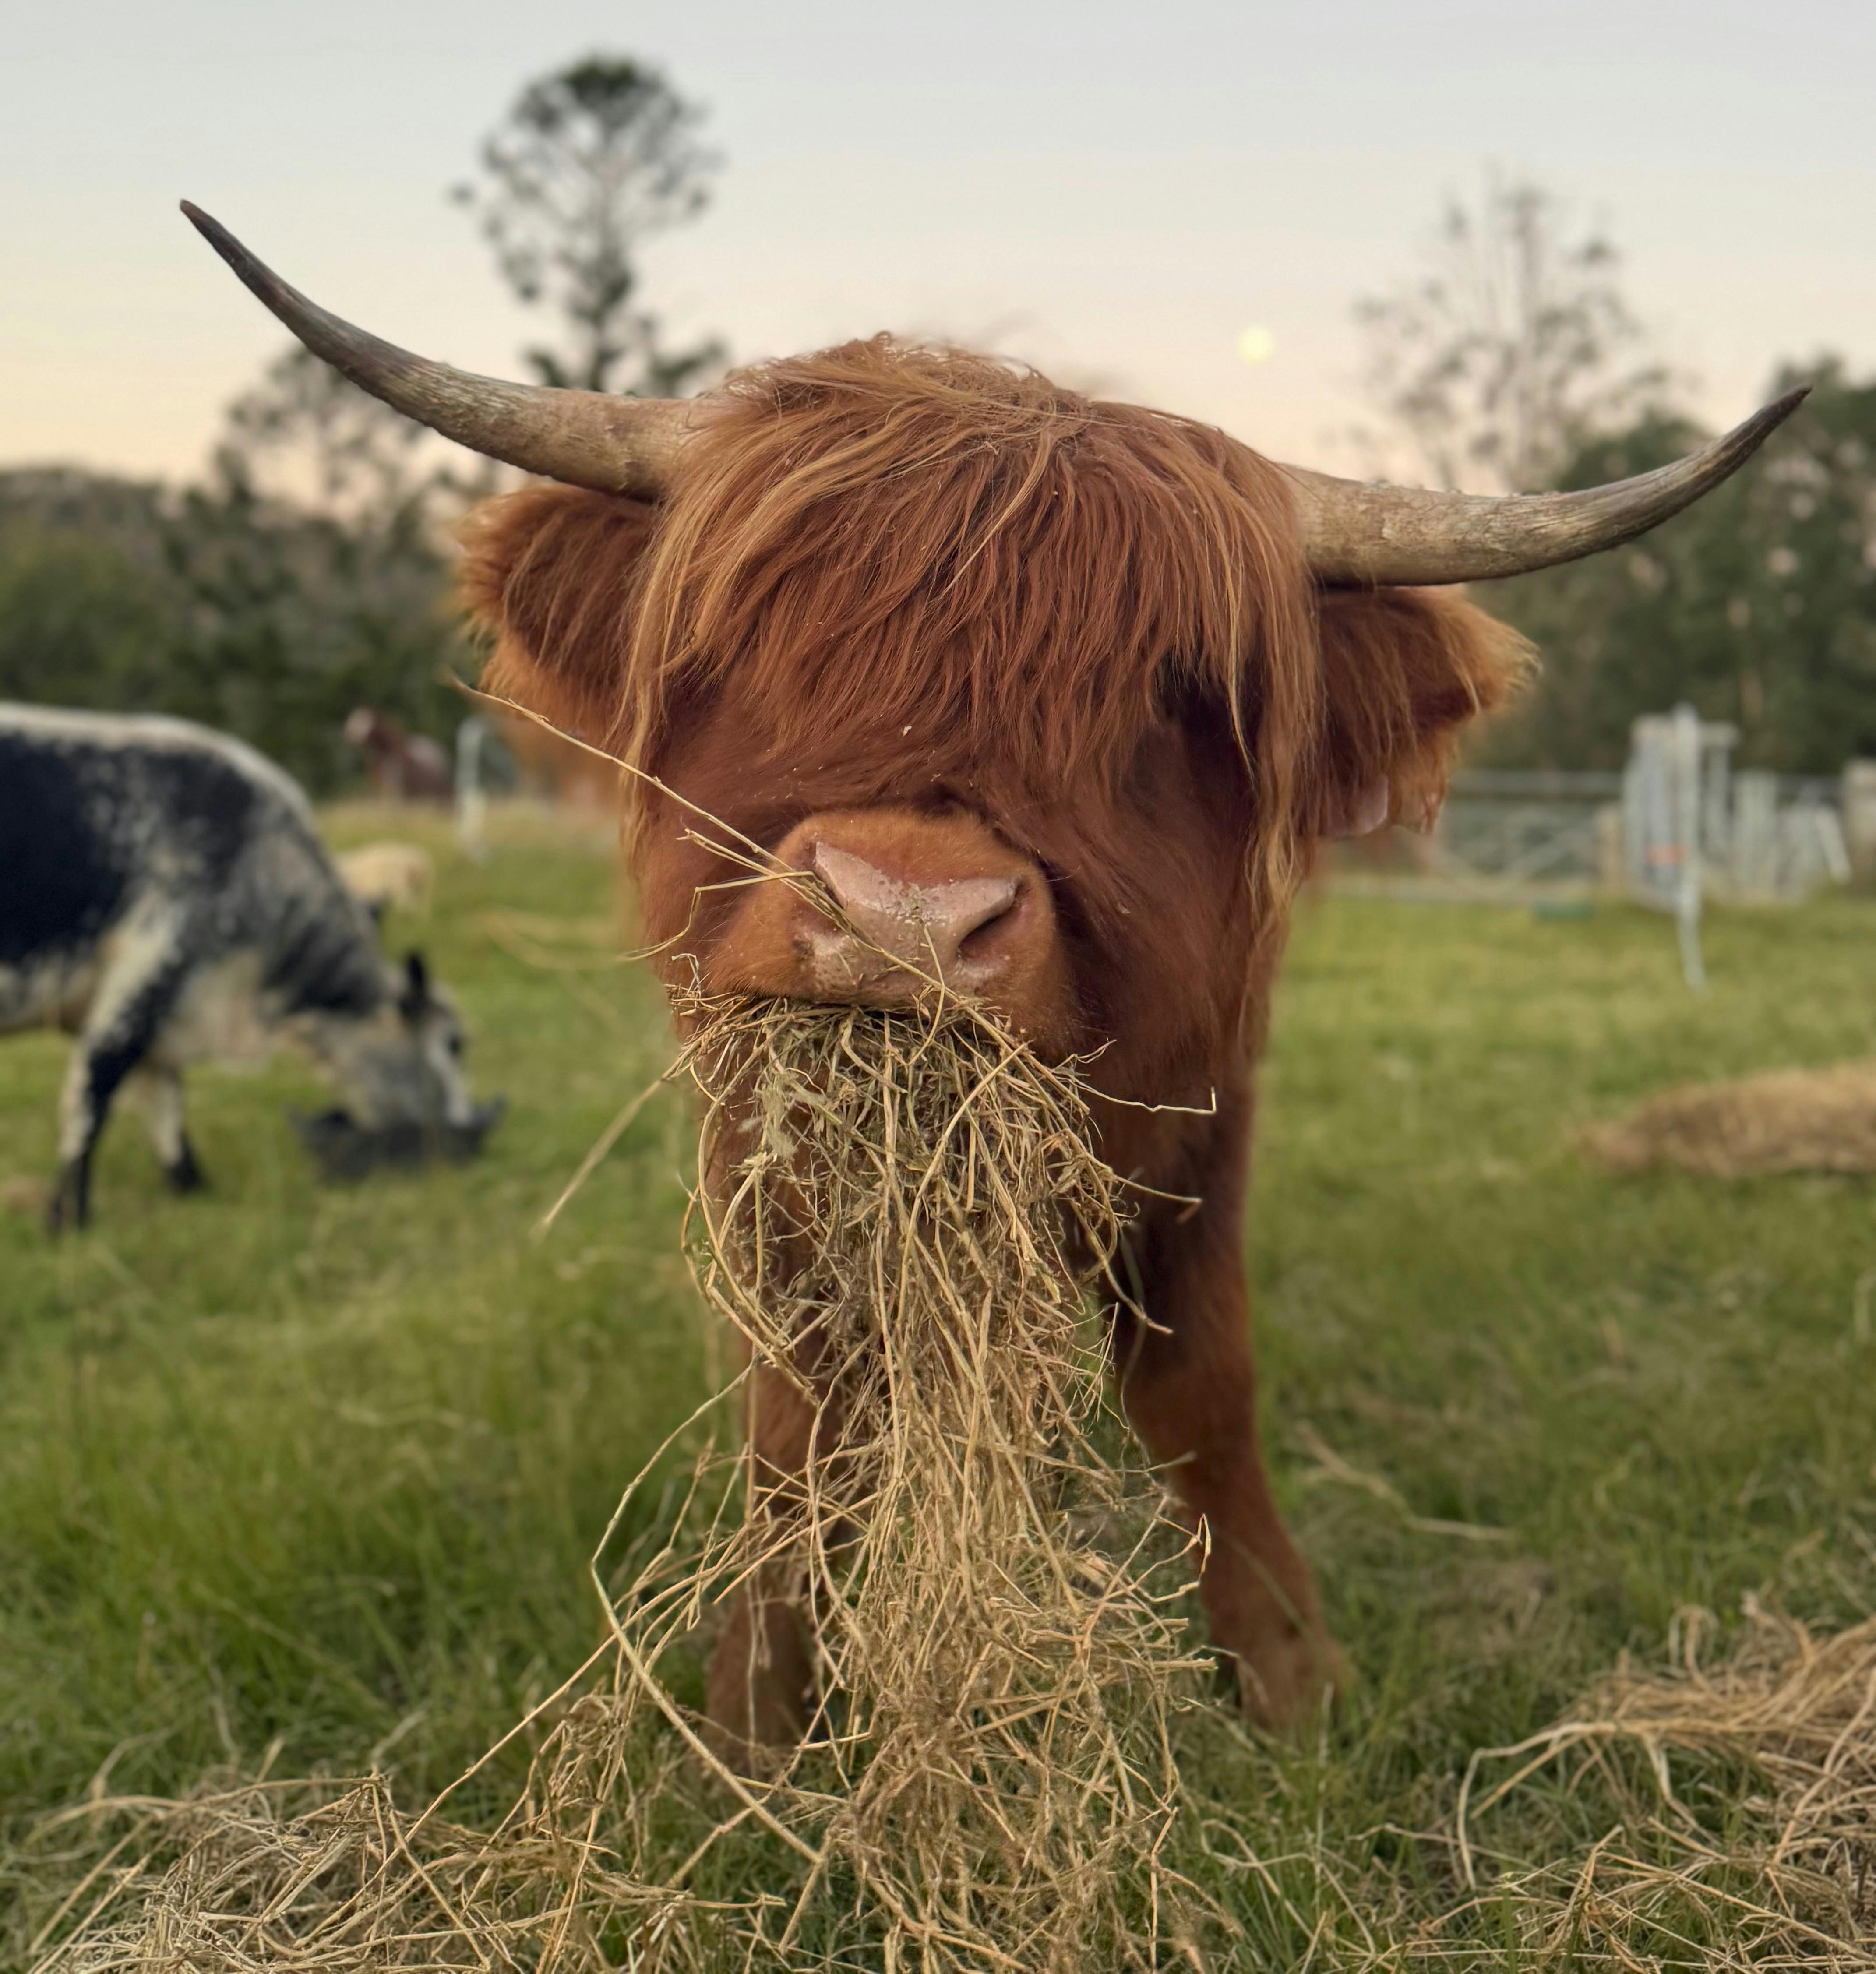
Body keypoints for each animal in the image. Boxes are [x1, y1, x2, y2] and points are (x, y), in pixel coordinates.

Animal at [0, 702, 500, 1231]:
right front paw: (69, 1216)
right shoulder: (153, 964)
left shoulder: (169, 1005)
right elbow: (94, 1096)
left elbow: (165, 1103)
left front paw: (191, 1188)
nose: (465, 1124)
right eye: (454, 1043)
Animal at [181, 201, 1803, 1743]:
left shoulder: (1209, 1095)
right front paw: (760, 1706)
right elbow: (797, 1398)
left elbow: (1199, 1373)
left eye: (1167, 698)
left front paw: (1283, 1668)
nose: (902, 914)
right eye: (759, 638)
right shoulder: (753, 1122)